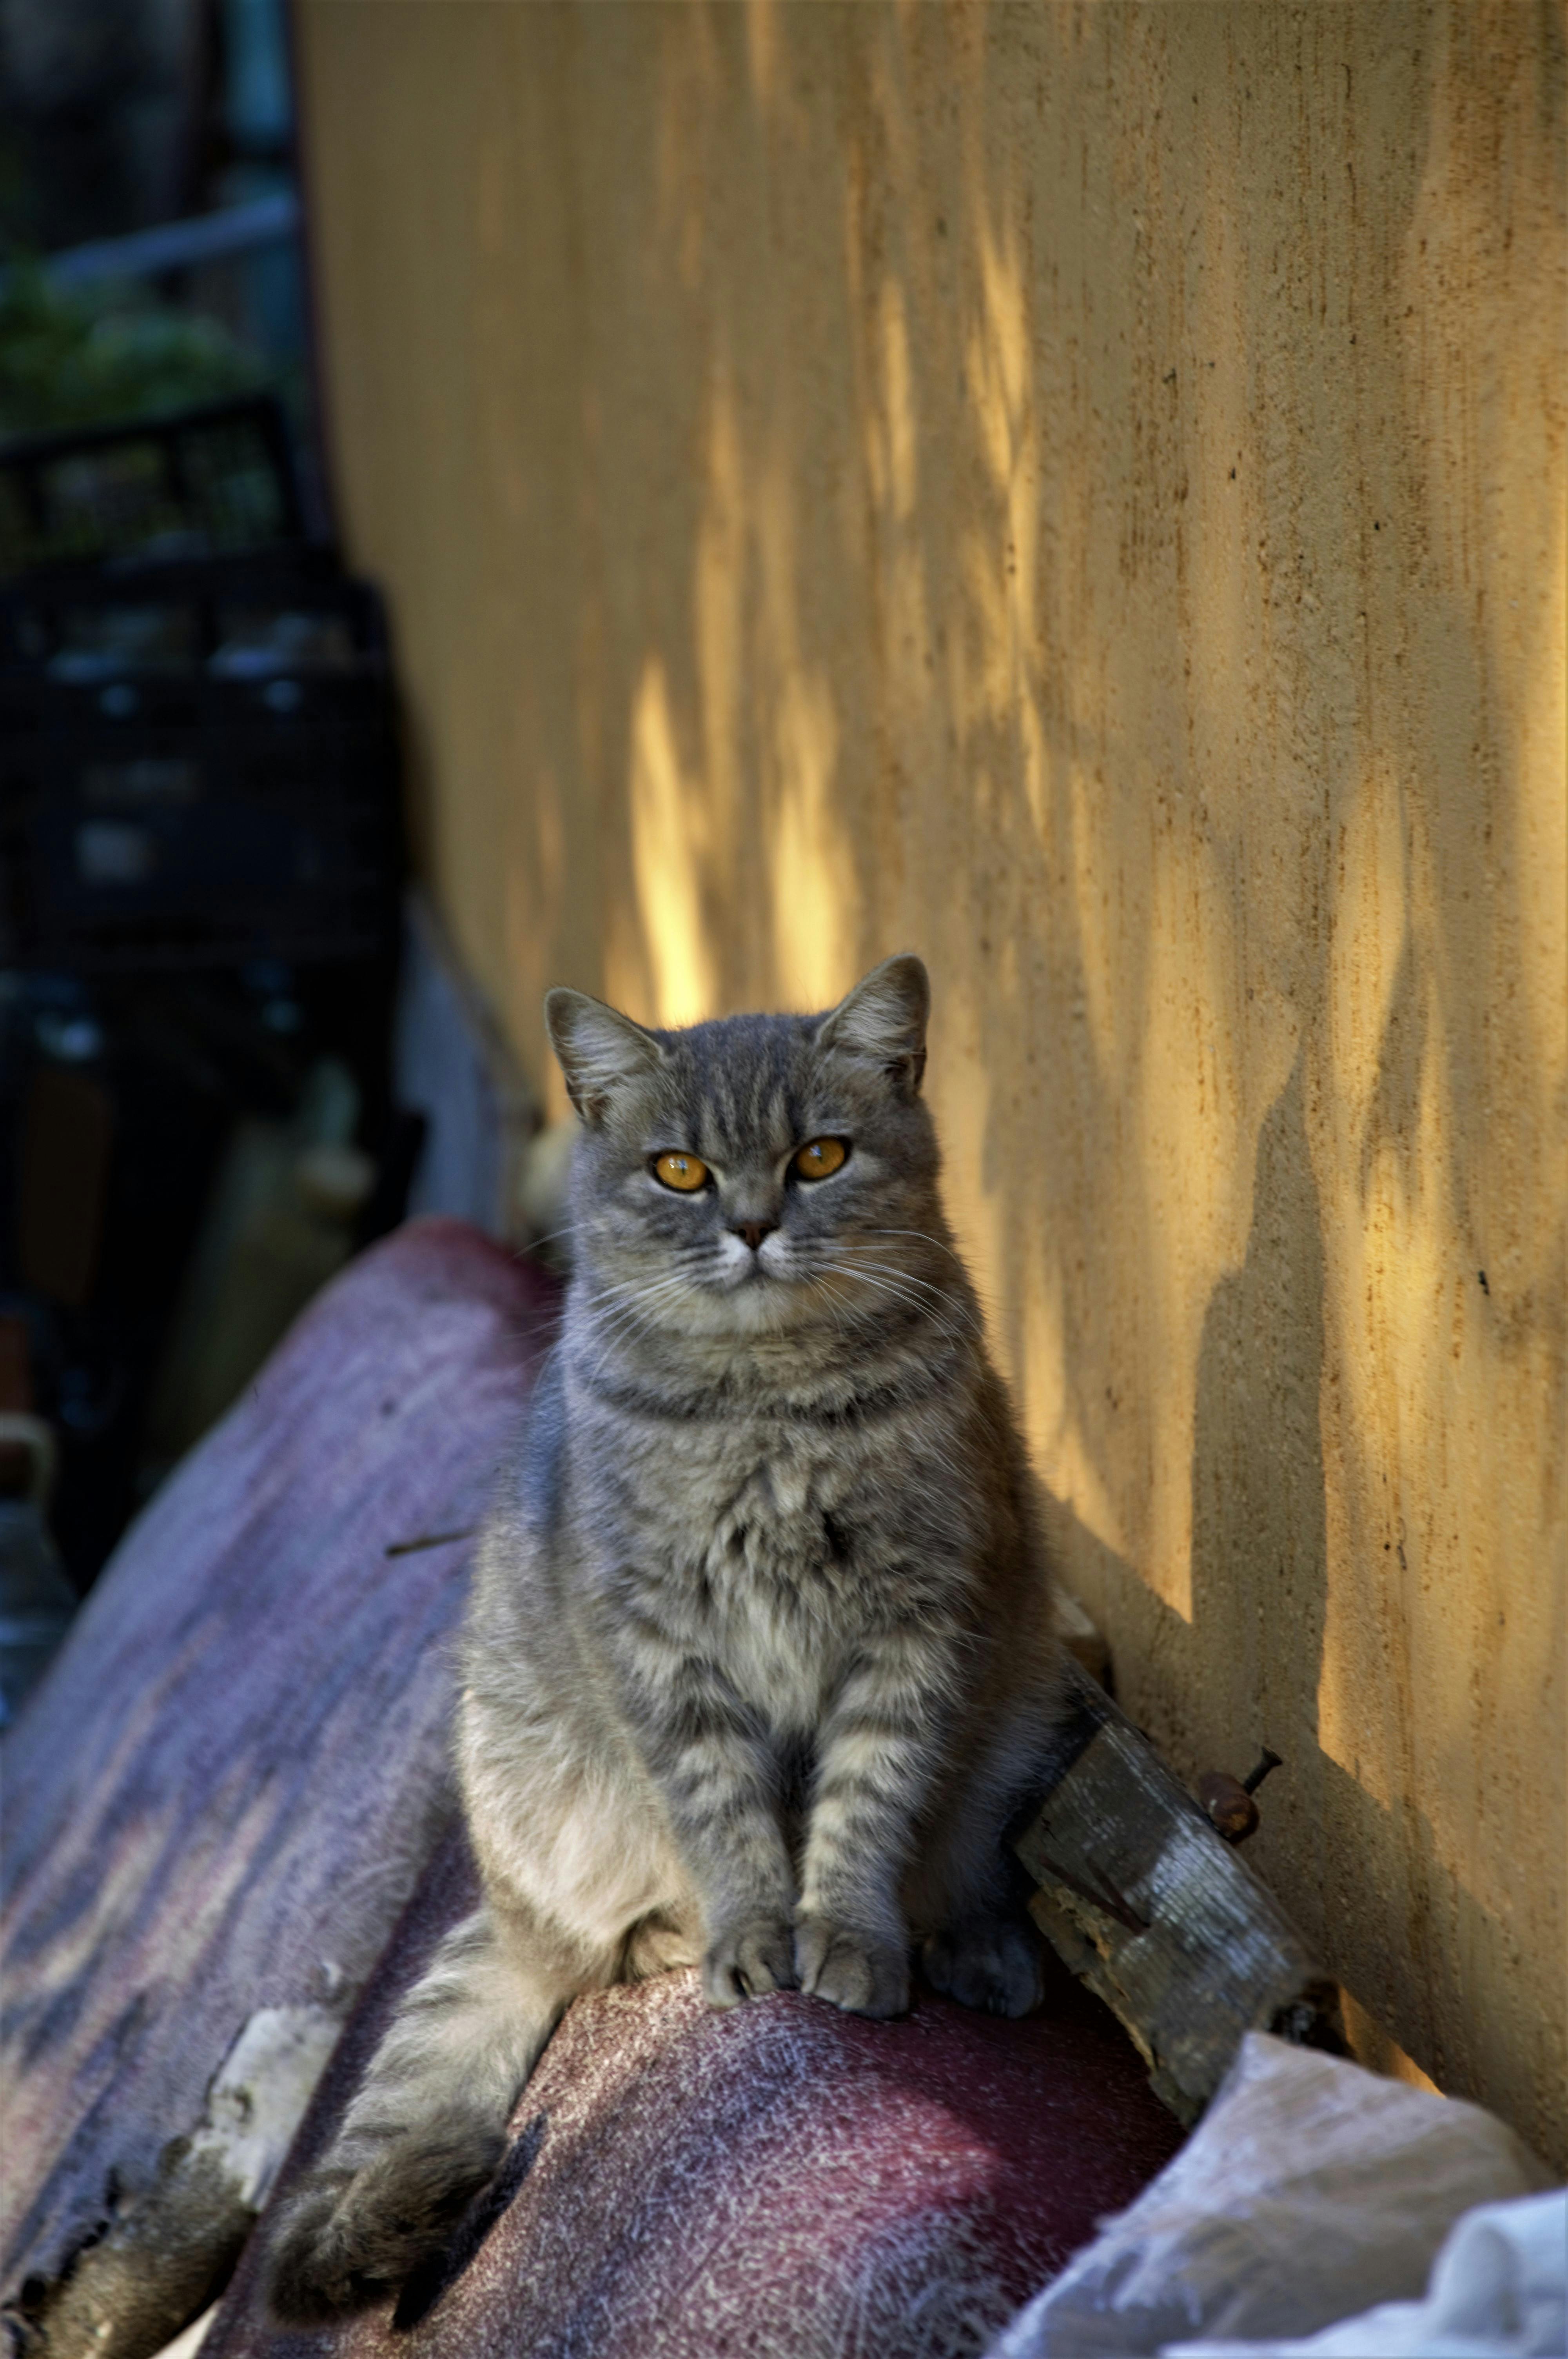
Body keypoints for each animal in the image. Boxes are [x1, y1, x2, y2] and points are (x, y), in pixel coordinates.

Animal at [269, 958, 1065, 2321]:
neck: (771, 1406)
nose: (750, 1225)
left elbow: (868, 1803)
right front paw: (755, 1935)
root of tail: (497, 1905)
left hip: (1022, 1711)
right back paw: (680, 1934)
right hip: (539, 1801)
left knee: (960, 1863)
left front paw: (848, 1937)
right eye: (680, 1171)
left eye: (820, 1155)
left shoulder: (917, 1626)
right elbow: (726, 1817)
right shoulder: (661, 1649)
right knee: (595, 1946)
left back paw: (975, 1947)